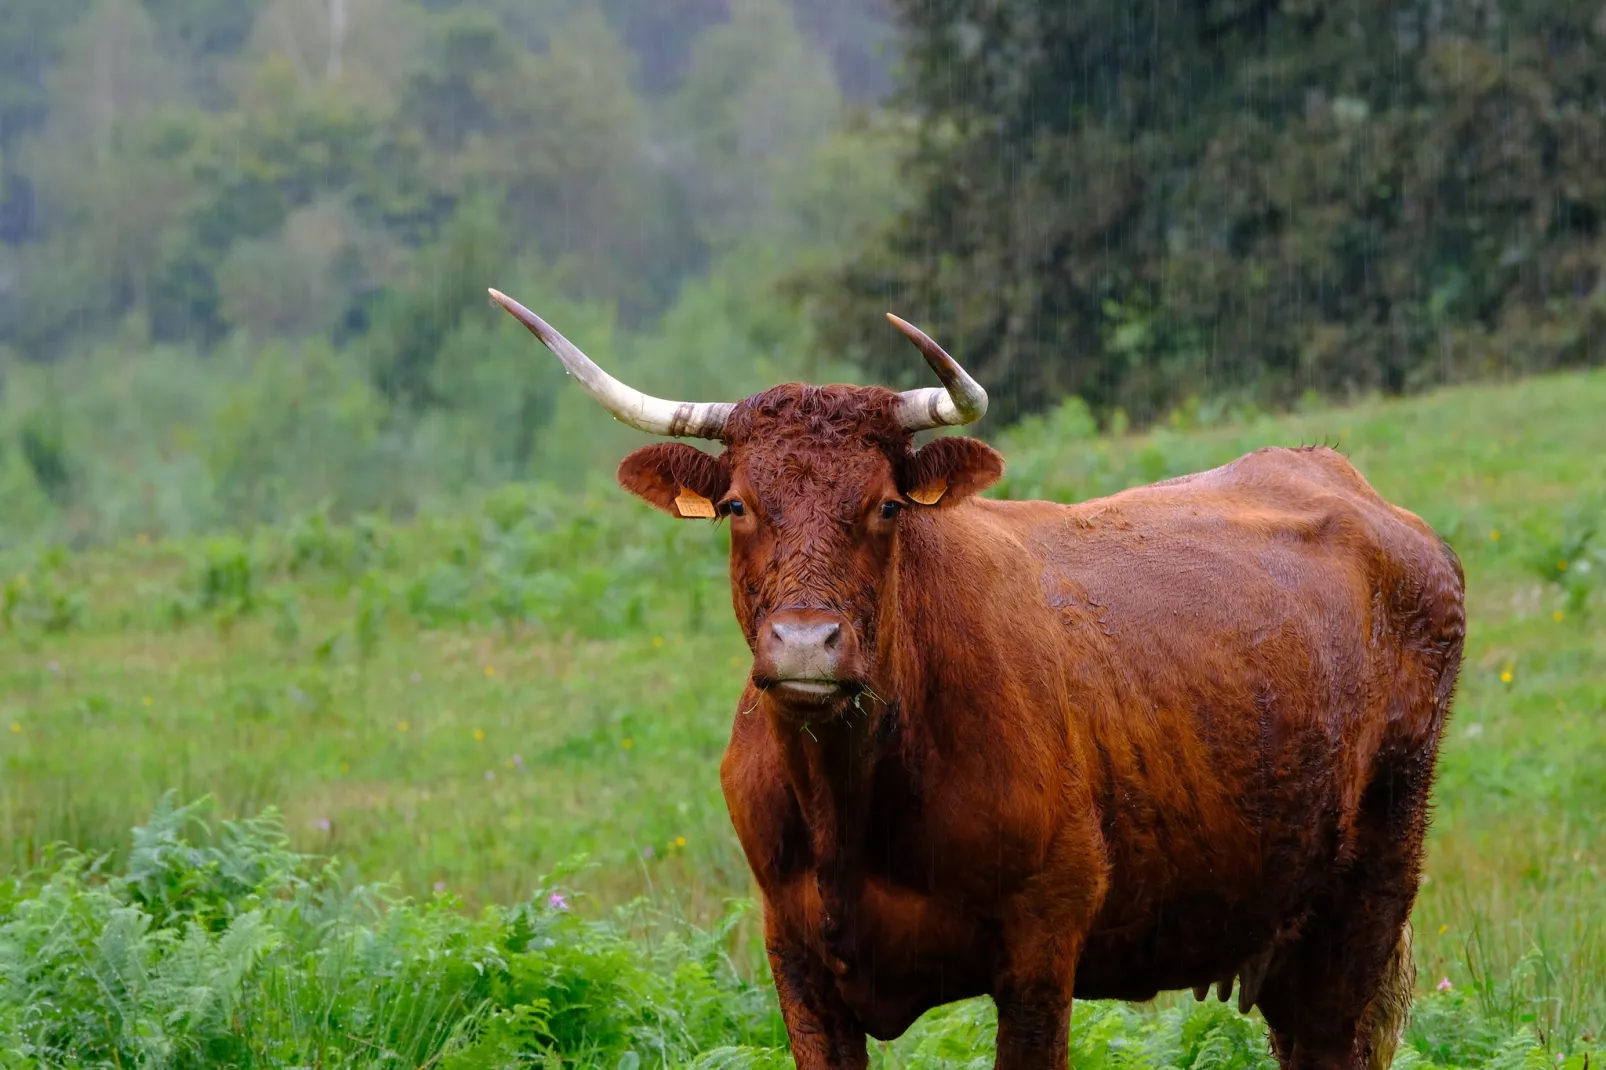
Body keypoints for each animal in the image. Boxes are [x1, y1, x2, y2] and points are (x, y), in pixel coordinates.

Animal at [488, 285, 1471, 1066]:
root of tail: (1336, 474)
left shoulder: (1040, 953)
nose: (805, 645)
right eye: (736, 505)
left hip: (1370, 897)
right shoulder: (796, 964)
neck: (850, 806)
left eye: (886, 505)